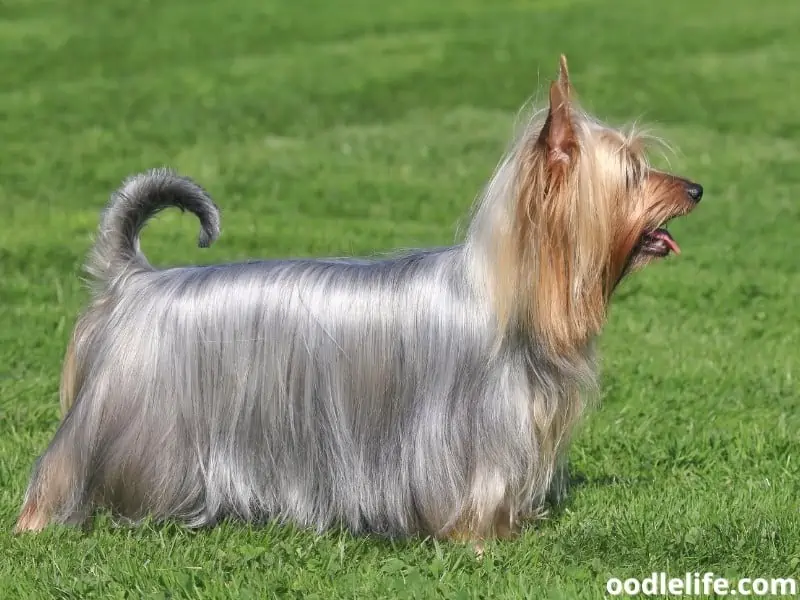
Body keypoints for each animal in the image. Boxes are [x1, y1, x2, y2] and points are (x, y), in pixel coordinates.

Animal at [12, 57, 700, 544]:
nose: (695, 188)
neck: (510, 300)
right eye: (633, 173)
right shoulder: (463, 435)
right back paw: (38, 522)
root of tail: (137, 280)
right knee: (62, 468)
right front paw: (477, 540)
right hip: (123, 413)